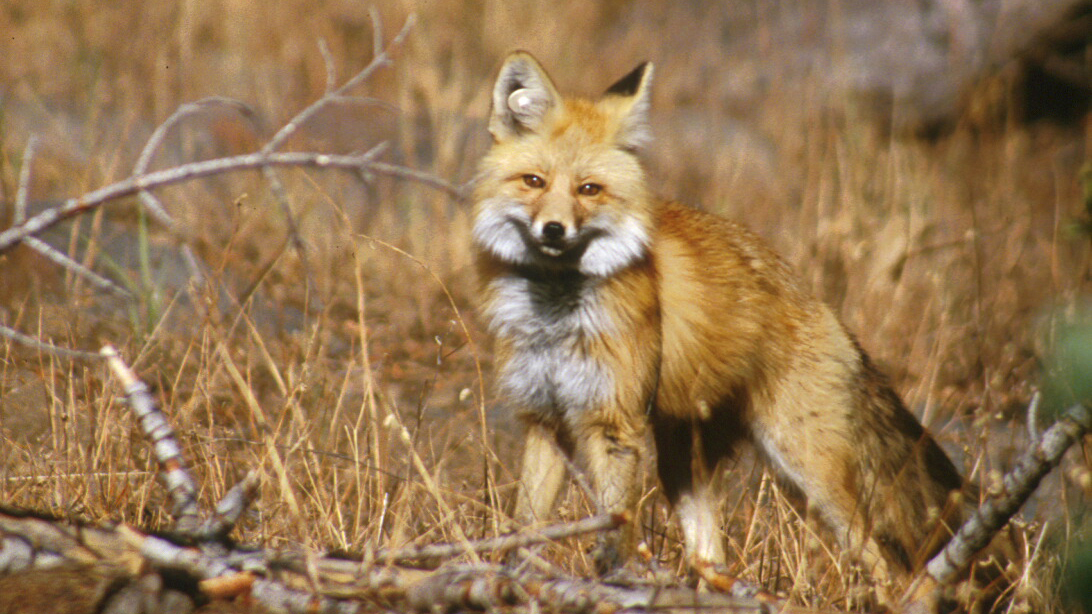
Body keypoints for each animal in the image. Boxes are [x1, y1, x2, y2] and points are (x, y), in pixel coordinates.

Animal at [471, 51, 964, 583]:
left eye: (589, 190)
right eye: (534, 181)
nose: (554, 230)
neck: (554, 314)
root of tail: (825, 309)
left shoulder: (614, 424)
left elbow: (614, 529)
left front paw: (612, 582)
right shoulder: (544, 418)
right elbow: (524, 526)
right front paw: (512, 577)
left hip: (809, 473)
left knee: (890, 565)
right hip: (684, 466)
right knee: (714, 554)